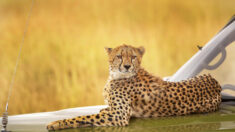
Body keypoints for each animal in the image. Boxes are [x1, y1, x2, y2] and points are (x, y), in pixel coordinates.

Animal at [46, 44, 221, 130]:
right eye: (119, 56)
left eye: (133, 56)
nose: (127, 66)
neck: (115, 76)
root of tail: (216, 83)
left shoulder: (119, 116)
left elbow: (83, 117)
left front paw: (57, 123)